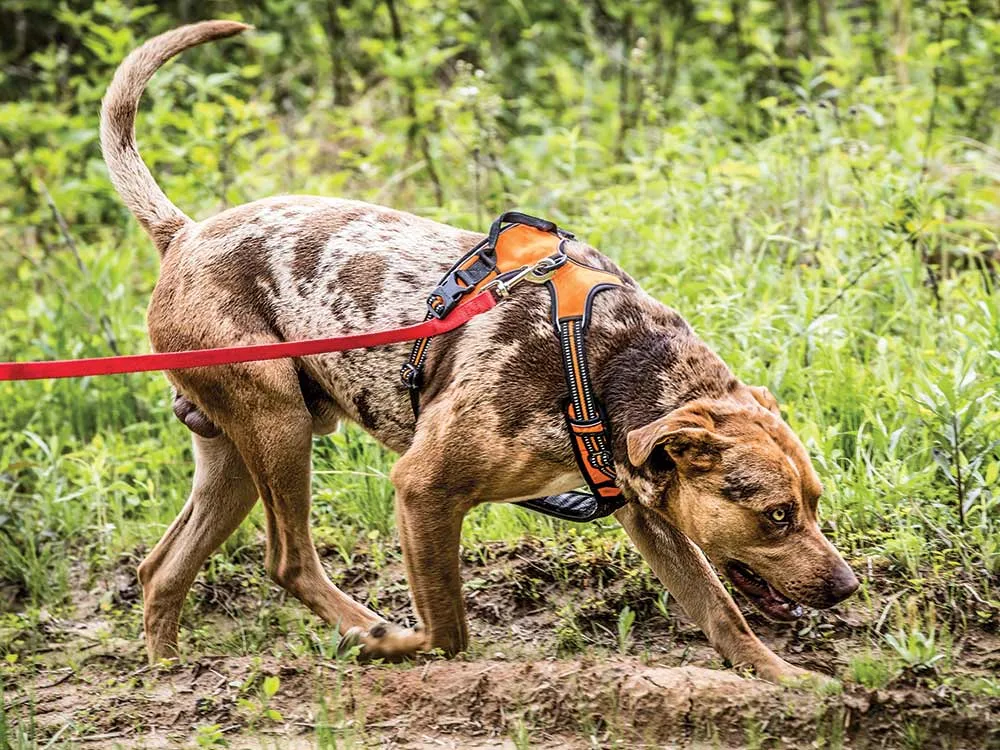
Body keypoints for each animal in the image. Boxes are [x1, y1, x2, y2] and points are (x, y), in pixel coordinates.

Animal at [105, 22, 864, 680]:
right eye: (777, 515)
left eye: (816, 502)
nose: (848, 586)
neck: (605, 365)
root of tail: (183, 232)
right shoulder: (424, 488)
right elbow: (449, 630)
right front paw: (405, 647)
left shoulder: (650, 517)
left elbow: (722, 614)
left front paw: (792, 682)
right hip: (278, 425)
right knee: (289, 560)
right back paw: (367, 632)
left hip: (236, 454)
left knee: (161, 570)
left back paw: (170, 677)